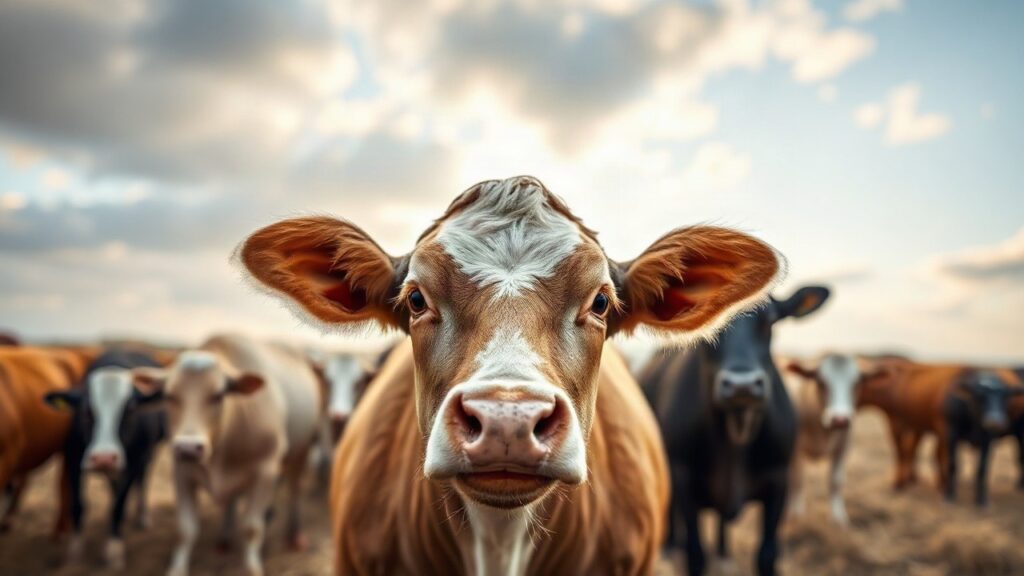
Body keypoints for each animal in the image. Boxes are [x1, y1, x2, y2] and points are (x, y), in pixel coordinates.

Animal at [43, 349, 167, 569]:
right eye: (86, 410)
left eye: (130, 410)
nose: (104, 458)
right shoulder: (73, 459)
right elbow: (78, 505)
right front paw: (74, 554)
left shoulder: (133, 463)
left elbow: (118, 506)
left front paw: (114, 552)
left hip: (149, 454)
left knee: (142, 480)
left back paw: (142, 516)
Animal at [130, 335, 322, 576]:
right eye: (169, 395)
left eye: (218, 395)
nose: (189, 447)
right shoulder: (181, 471)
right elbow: (185, 529)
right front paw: (177, 569)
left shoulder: (266, 471)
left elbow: (251, 527)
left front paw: (252, 568)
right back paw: (224, 539)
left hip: (301, 451)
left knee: (295, 490)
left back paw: (295, 536)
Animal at [640, 286, 830, 576]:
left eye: (770, 320)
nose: (743, 386)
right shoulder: (682, 476)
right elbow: (695, 555)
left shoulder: (779, 479)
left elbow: (767, 554)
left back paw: (723, 554)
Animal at [782, 353, 888, 525]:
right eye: (821, 382)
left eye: (856, 383)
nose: (840, 419)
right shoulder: (796, 450)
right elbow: (797, 479)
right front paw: (797, 514)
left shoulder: (843, 446)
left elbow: (836, 481)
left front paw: (838, 518)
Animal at [943, 369, 1024, 506]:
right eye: (979, 396)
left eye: (1005, 396)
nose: (995, 421)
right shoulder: (952, 434)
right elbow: (953, 464)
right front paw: (949, 495)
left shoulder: (988, 440)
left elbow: (982, 469)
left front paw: (981, 500)